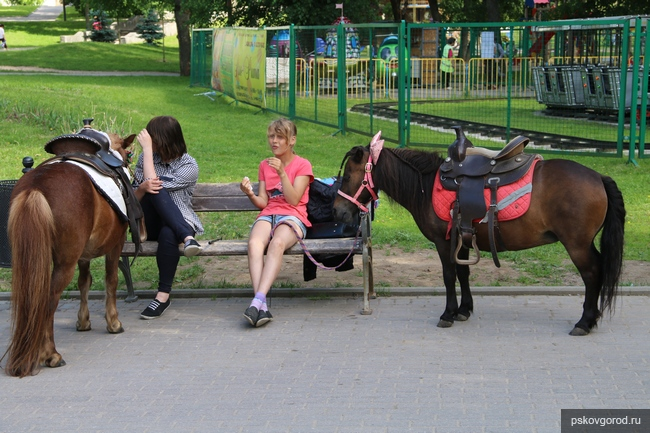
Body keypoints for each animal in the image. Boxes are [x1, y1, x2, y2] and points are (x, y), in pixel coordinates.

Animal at [4, 131, 137, 374]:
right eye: (128, 153)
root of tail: (35, 187)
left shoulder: (82, 255)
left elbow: (84, 282)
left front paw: (83, 321)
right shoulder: (116, 244)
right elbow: (111, 280)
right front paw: (113, 322)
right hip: (64, 263)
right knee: (48, 301)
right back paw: (51, 354)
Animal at [332, 133, 624, 336]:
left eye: (346, 177)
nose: (337, 211)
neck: (425, 185)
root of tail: (598, 176)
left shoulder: (443, 243)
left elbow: (449, 276)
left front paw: (448, 314)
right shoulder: (461, 241)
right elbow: (463, 274)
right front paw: (464, 310)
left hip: (577, 245)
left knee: (592, 274)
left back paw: (584, 322)